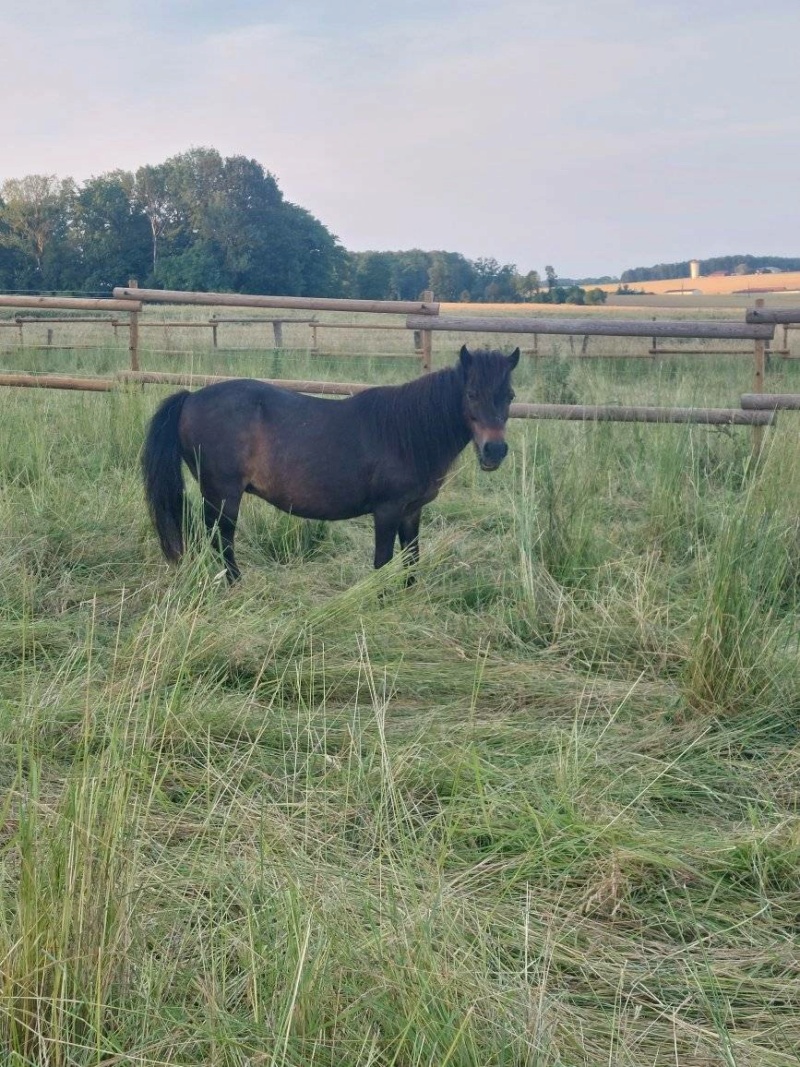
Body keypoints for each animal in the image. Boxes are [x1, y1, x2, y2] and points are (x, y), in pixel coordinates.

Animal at [141, 343, 522, 580]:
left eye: (509, 396)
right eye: (471, 394)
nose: (494, 450)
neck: (406, 432)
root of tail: (190, 398)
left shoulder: (412, 511)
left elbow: (412, 559)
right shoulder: (386, 510)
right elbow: (382, 562)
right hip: (223, 495)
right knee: (221, 541)